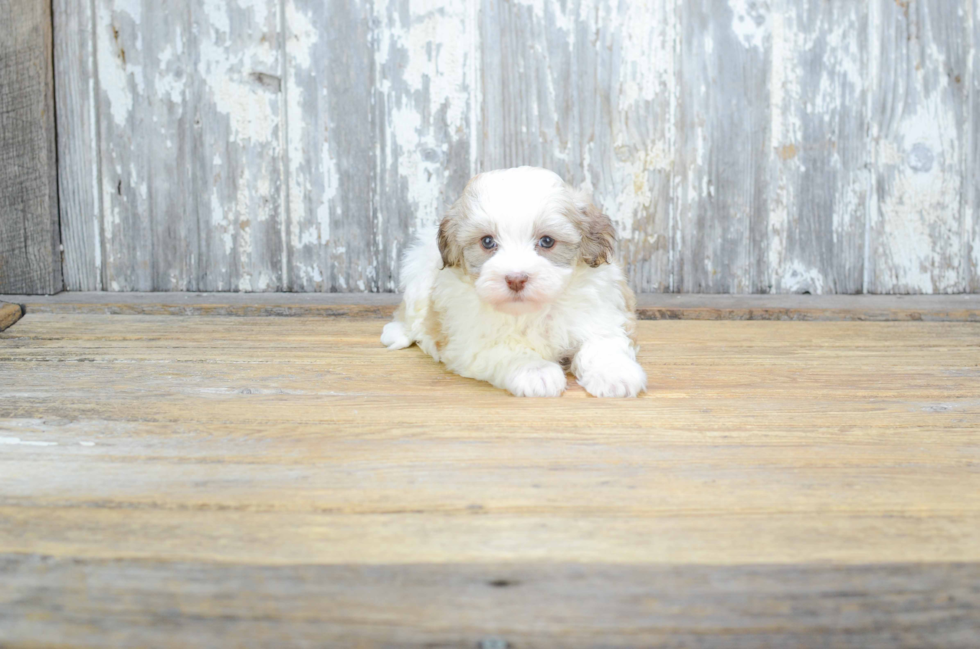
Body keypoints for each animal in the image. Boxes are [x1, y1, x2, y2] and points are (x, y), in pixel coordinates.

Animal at [378, 165, 648, 398]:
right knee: (411, 314)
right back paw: (397, 333)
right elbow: (507, 350)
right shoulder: (471, 341)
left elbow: (603, 342)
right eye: (487, 242)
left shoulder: (603, 314)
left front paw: (614, 374)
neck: (533, 310)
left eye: (547, 241)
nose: (516, 279)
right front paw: (536, 371)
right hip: (418, 274)